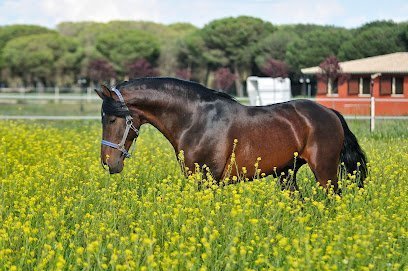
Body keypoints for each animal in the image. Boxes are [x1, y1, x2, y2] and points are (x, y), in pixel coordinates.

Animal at [95, 76, 366, 192]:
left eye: (111, 118)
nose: (109, 163)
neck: (195, 119)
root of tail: (330, 113)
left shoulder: (208, 179)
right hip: (287, 174)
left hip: (325, 172)